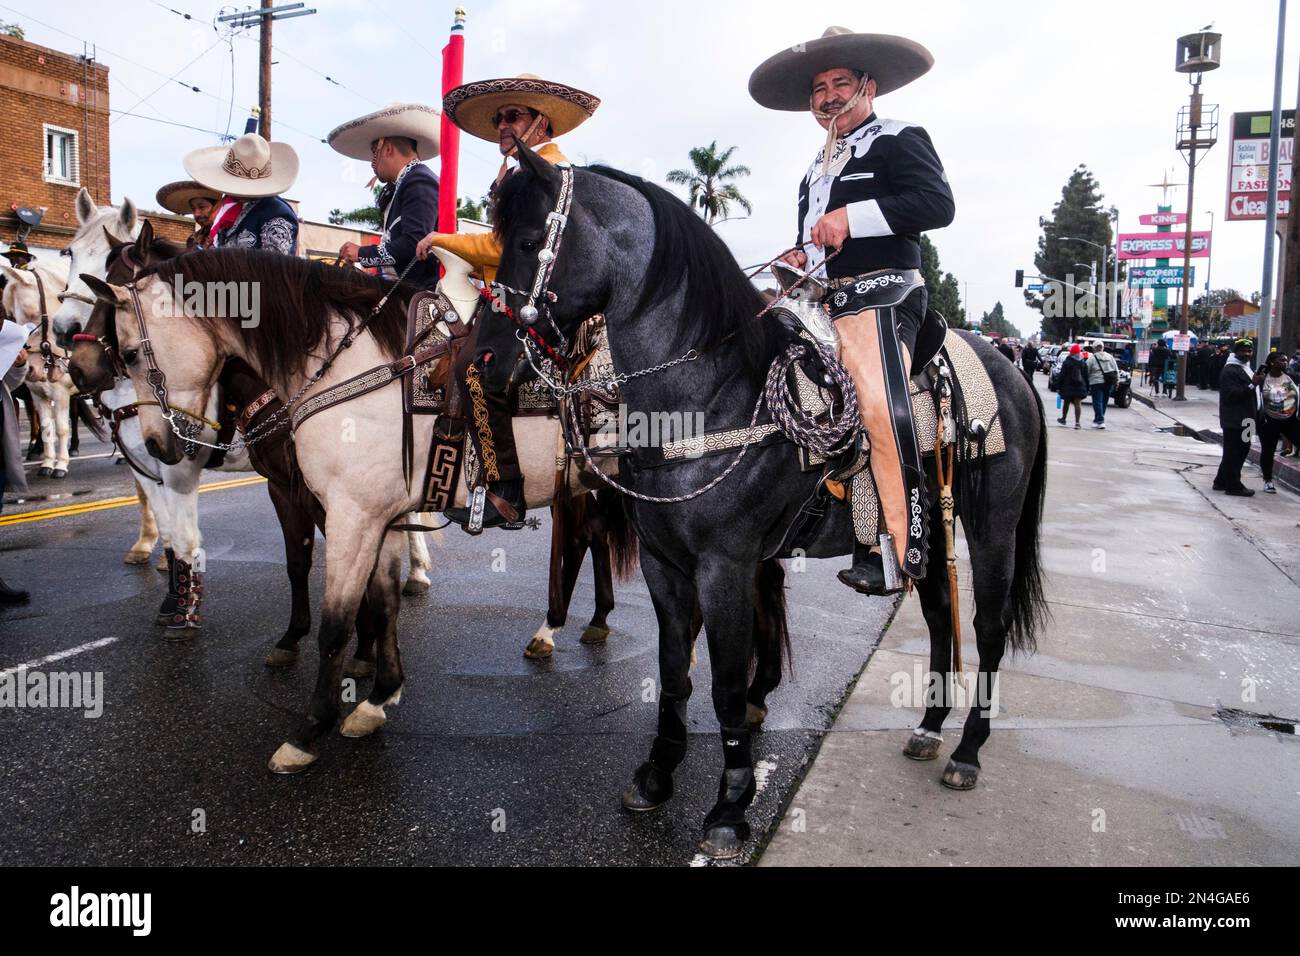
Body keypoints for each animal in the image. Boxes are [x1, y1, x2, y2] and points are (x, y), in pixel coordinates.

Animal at [465, 140, 1045, 858]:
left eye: (525, 240)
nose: (483, 358)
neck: (712, 393)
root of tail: (1012, 370)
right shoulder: (664, 564)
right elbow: (675, 672)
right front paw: (657, 775)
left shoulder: (727, 567)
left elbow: (726, 681)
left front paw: (729, 805)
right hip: (926, 530)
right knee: (940, 614)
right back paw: (930, 728)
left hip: (993, 527)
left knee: (987, 628)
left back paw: (967, 750)